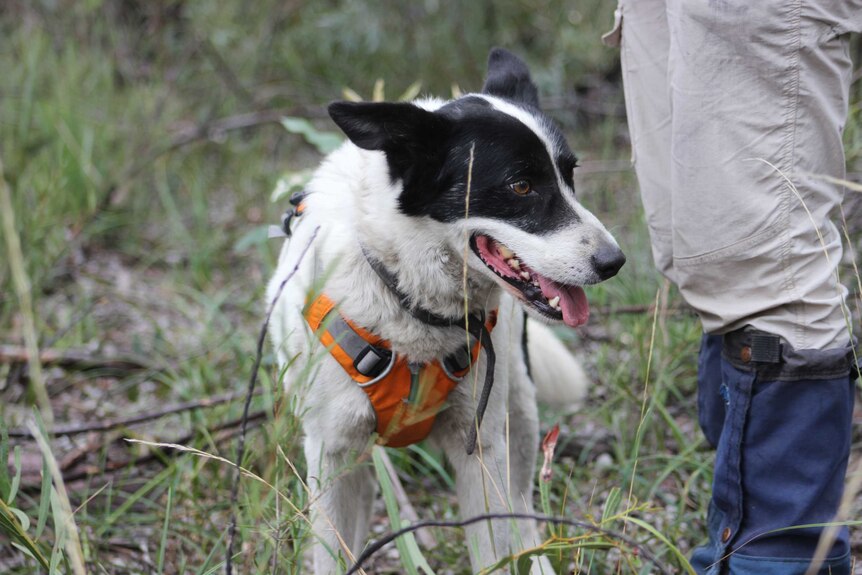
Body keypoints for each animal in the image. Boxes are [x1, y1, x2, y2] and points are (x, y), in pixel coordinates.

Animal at [266, 47, 624, 572]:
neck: (408, 302)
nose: (614, 262)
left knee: (522, 507)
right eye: (521, 186)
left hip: (518, 408)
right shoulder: (332, 452)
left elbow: (495, 550)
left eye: (570, 175)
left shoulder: (480, 446)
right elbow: (332, 554)